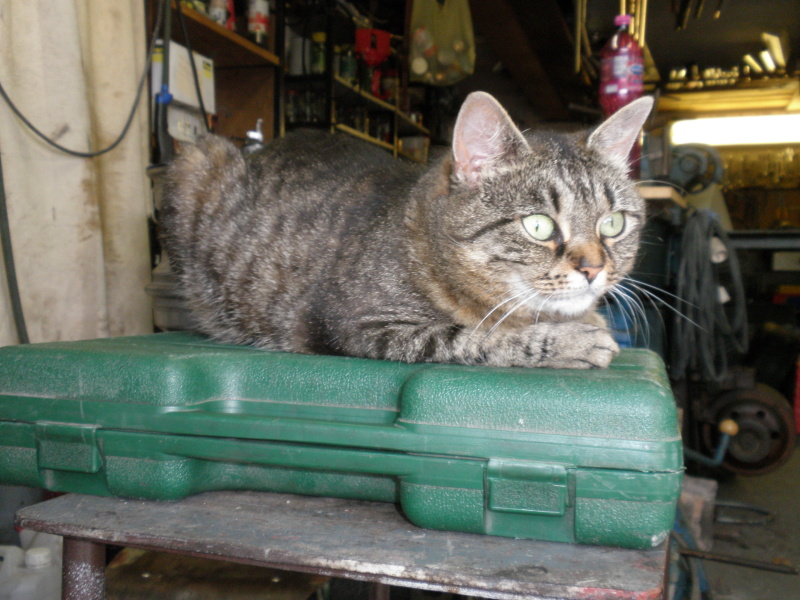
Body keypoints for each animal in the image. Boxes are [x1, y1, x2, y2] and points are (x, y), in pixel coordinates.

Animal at [161, 91, 653, 369]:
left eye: (613, 223)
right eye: (539, 225)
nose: (594, 269)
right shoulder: (364, 326)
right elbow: (477, 337)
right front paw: (573, 340)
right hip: (195, 159)